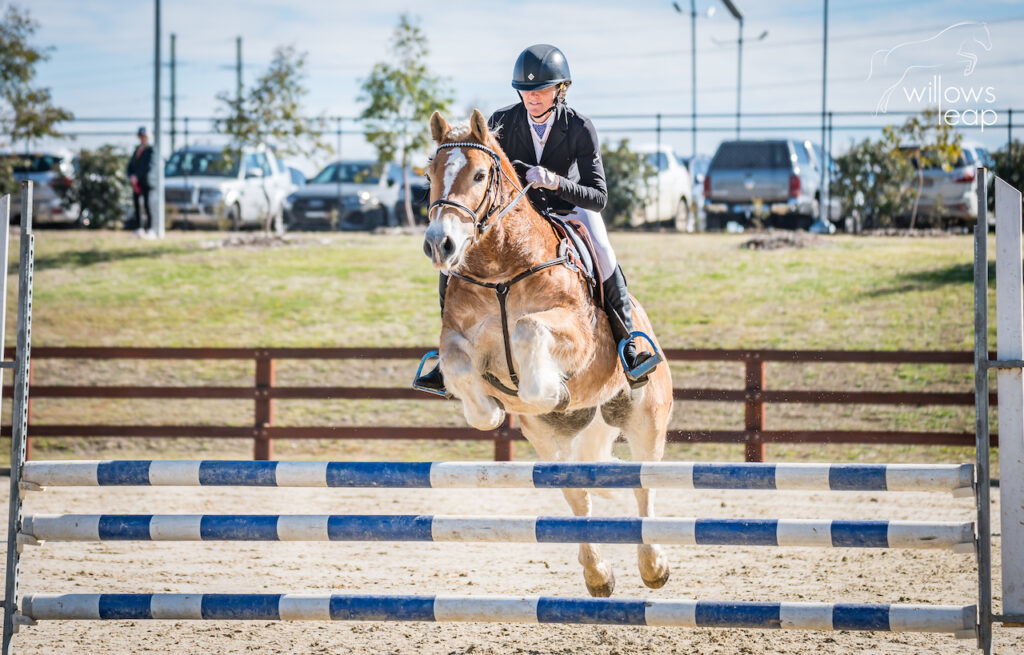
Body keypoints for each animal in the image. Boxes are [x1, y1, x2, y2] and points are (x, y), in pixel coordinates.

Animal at [419, 108, 675, 597]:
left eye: (479, 175)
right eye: (429, 175)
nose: (439, 245)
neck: (501, 268)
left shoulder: (577, 335)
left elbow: (526, 328)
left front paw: (549, 390)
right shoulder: (456, 339)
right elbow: (462, 371)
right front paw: (493, 408)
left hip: (645, 416)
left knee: (645, 484)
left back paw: (654, 564)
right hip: (550, 439)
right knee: (578, 489)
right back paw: (598, 574)